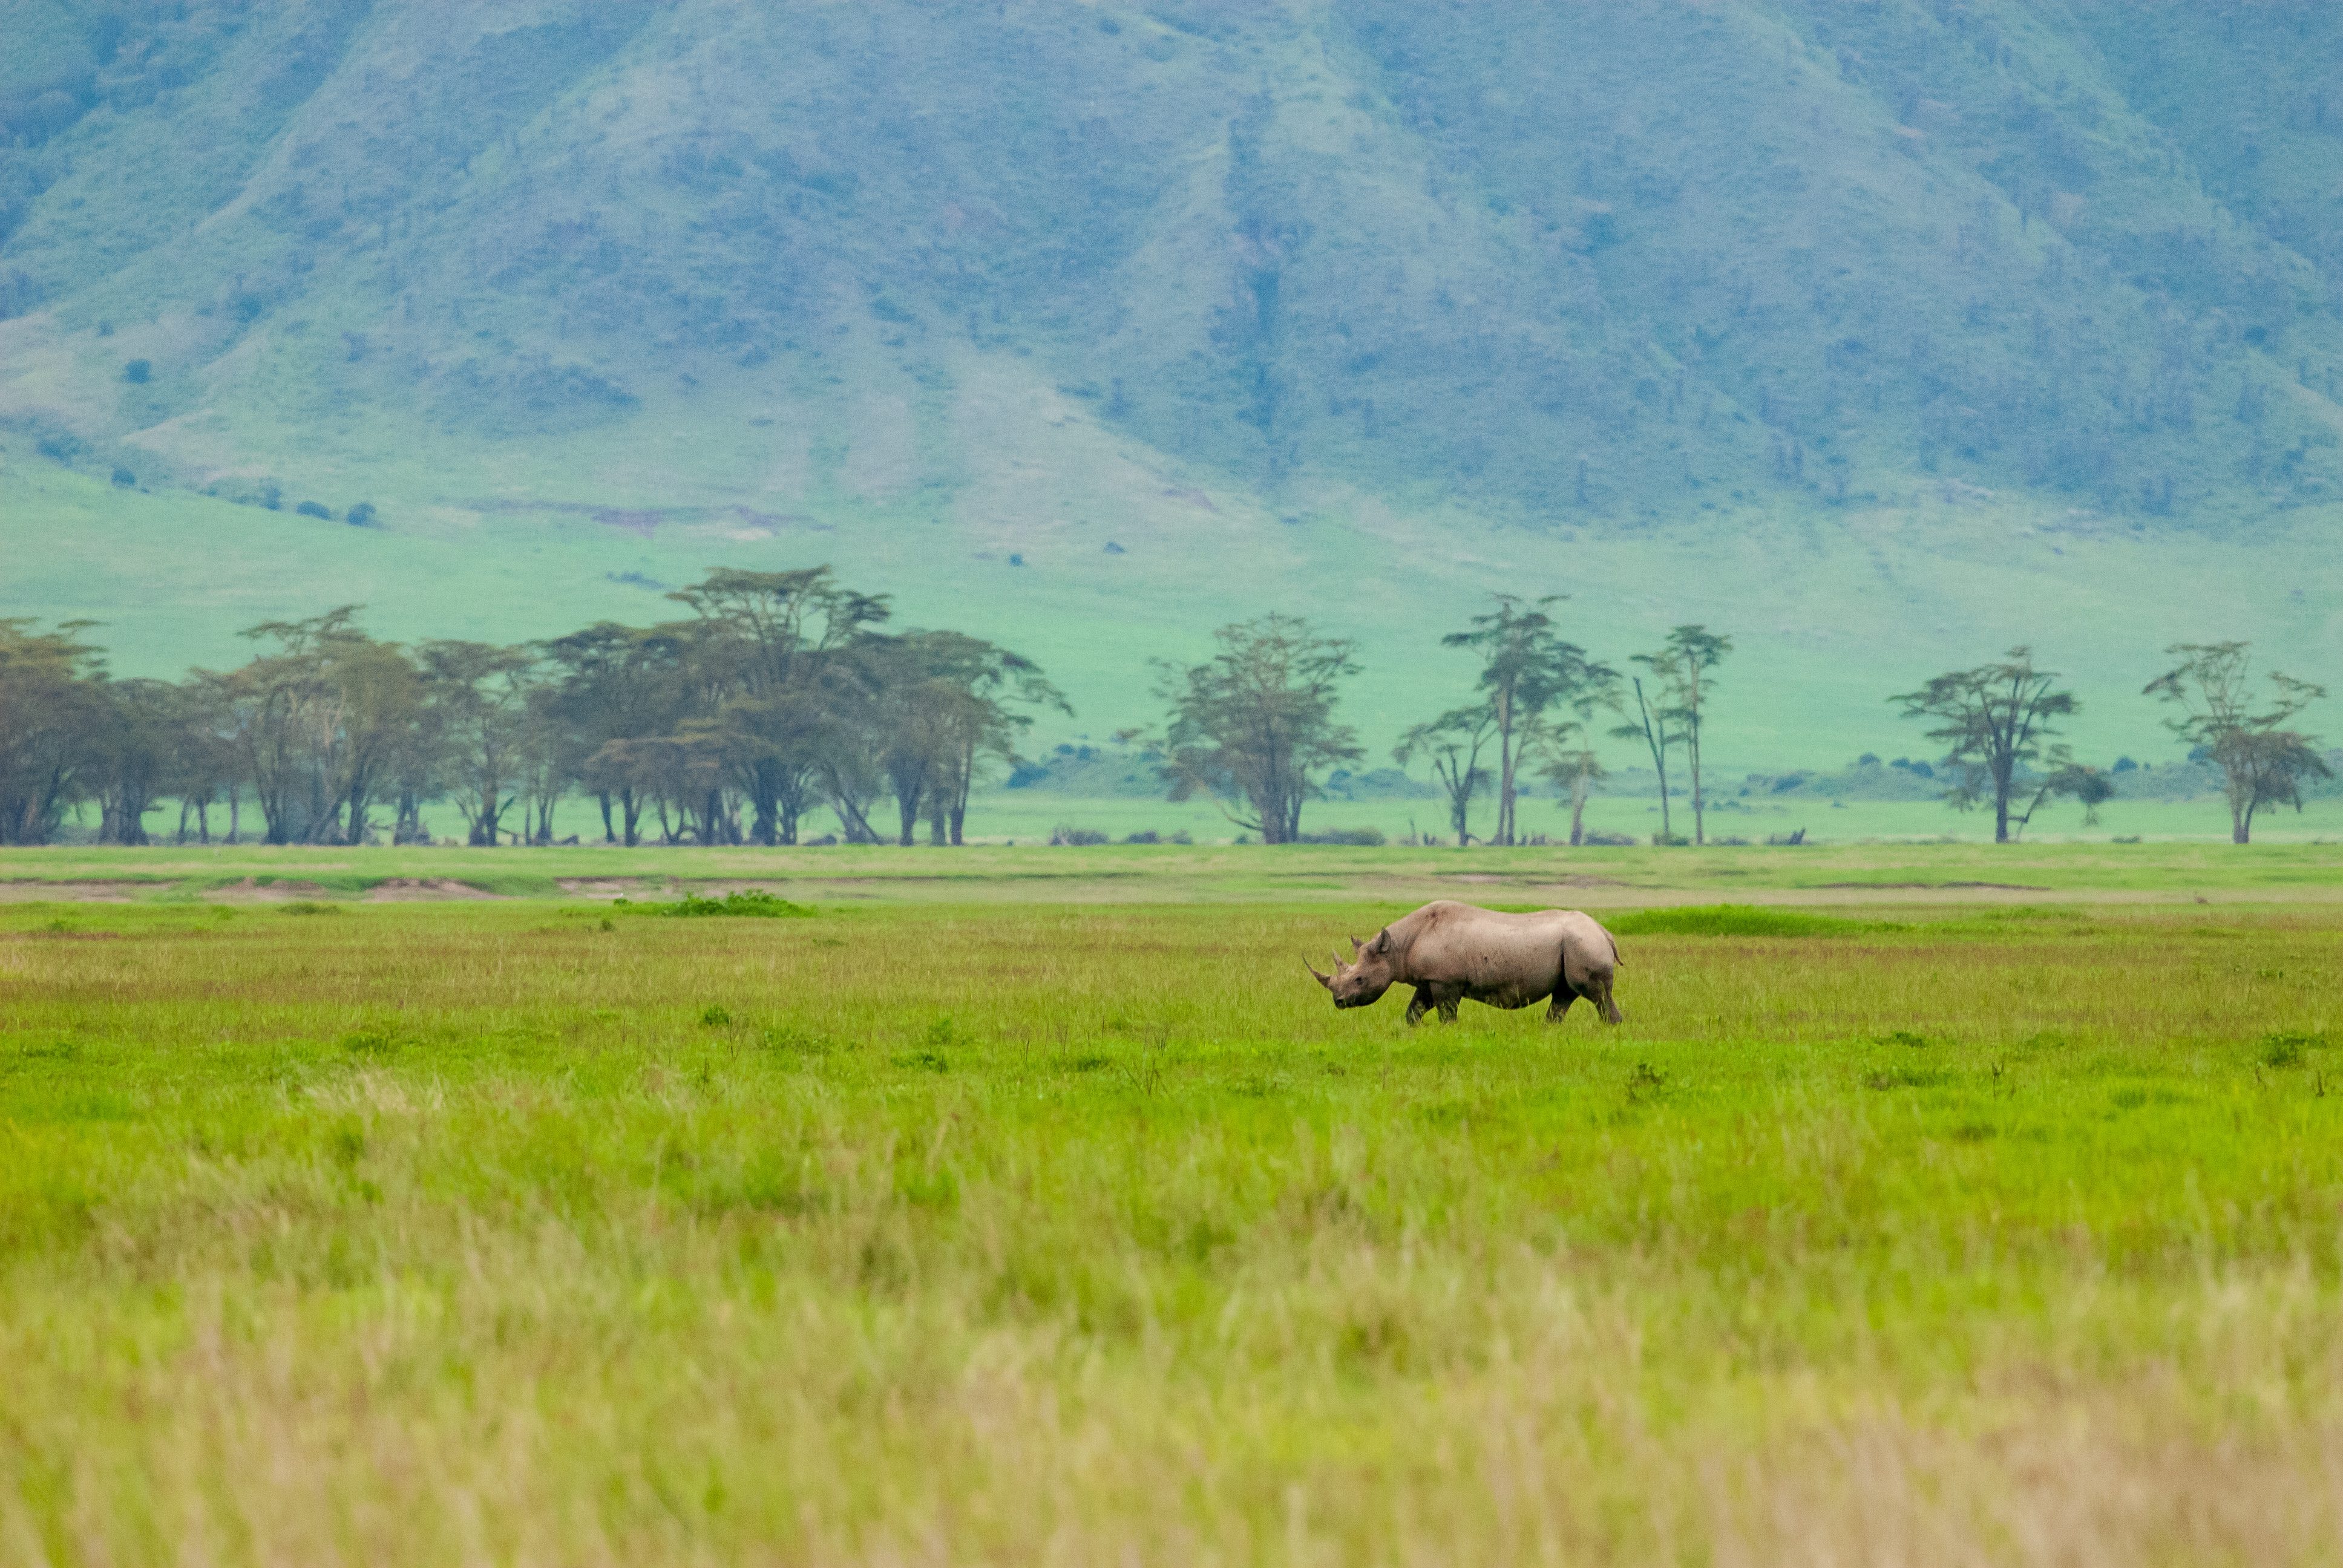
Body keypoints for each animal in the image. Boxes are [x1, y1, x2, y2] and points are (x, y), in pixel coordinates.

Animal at [1304, 899, 1624, 1026]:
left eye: (1360, 979)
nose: (1339, 1002)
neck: (1397, 948)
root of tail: (1605, 932)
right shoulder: (1430, 979)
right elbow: (1414, 1011)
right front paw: (1413, 1031)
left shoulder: (1446, 981)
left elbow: (1447, 1016)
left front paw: (1449, 1035)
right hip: (1575, 946)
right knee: (1564, 995)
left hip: (1583, 944)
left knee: (1596, 995)